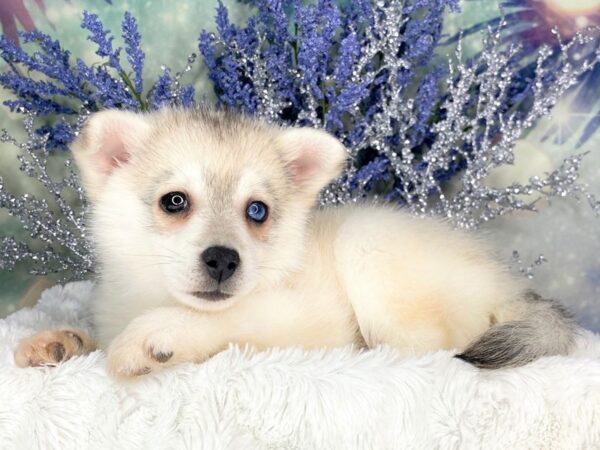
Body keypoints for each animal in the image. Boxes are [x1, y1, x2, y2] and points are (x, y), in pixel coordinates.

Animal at [14, 107, 576, 378]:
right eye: (174, 201)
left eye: (257, 211)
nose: (223, 260)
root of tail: (510, 286)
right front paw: (58, 342)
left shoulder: (301, 318)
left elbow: (226, 318)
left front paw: (157, 334)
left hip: (368, 245)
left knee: (427, 346)